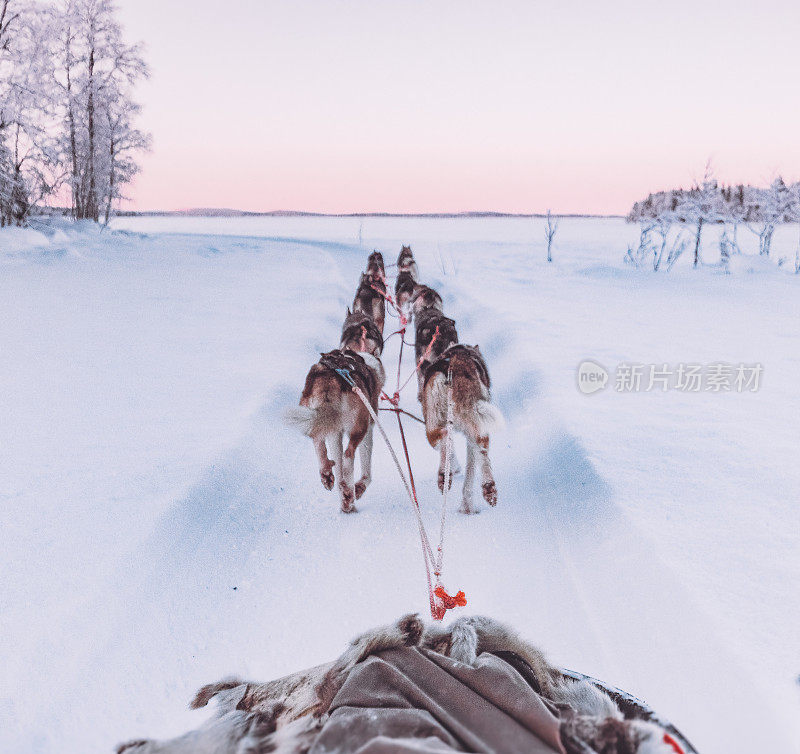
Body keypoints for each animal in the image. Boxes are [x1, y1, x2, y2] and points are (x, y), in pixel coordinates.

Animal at [286, 340, 386, 512]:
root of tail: (330, 378)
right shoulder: (368, 429)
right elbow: (366, 471)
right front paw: (358, 488)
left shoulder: (335, 433)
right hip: (359, 426)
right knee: (347, 456)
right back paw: (348, 492)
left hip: (315, 417)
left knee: (320, 444)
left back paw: (329, 476)